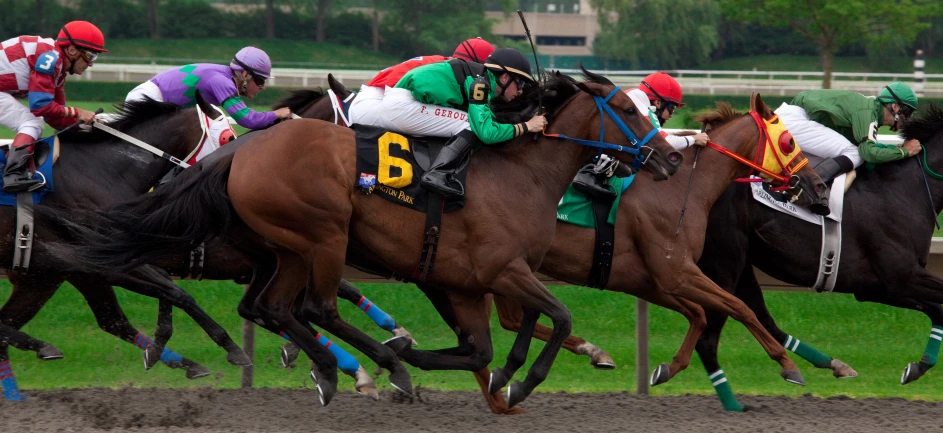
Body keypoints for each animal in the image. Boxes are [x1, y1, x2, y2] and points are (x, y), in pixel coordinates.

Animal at [51, 69, 684, 406]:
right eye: (631, 110)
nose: (671, 158)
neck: (519, 171)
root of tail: (239, 154)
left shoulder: (467, 281)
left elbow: (491, 342)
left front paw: (495, 374)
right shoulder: (503, 270)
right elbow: (558, 314)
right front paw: (521, 382)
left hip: (287, 248)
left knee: (272, 307)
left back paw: (340, 369)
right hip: (323, 235)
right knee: (314, 308)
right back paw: (373, 367)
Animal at [688, 103, 943, 410]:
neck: (907, 187)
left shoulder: (881, 287)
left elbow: (938, 309)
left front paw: (916, 367)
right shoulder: (900, 277)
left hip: (741, 263)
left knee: (760, 318)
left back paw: (827, 364)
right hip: (723, 264)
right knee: (709, 339)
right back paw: (732, 403)